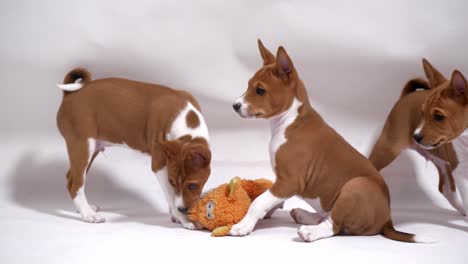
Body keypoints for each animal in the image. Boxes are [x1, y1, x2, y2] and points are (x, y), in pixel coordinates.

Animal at [55, 68, 213, 229]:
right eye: (172, 182)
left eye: (192, 186)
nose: (183, 209)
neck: (185, 119)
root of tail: (70, 96)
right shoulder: (159, 166)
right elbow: (170, 195)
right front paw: (184, 219)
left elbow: (171, 197)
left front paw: (176, 215)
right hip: (82, 146)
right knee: (75, 184)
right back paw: (88, 214)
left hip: (92, 150)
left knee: (70, 178)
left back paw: (83, 209)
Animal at [229, 40, 430, 242]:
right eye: (248, 85)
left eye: (260, 90)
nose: (235, 106)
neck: (289, 121)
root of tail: (387, 220)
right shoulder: (281, 182)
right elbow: (268, 199)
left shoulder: (289, 181)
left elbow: (258, 201)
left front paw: (243, 225)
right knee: (326, 215)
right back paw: (304, 215)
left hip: (355, 187)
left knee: (334, 225)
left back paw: (310, 231)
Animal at [370, 59, 468, 217]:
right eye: (422, 114)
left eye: (439, 117)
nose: (416, 136)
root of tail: (406, 96)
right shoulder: (460, 169)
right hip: (387, 149)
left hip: (441, 160)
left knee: (445, 189)